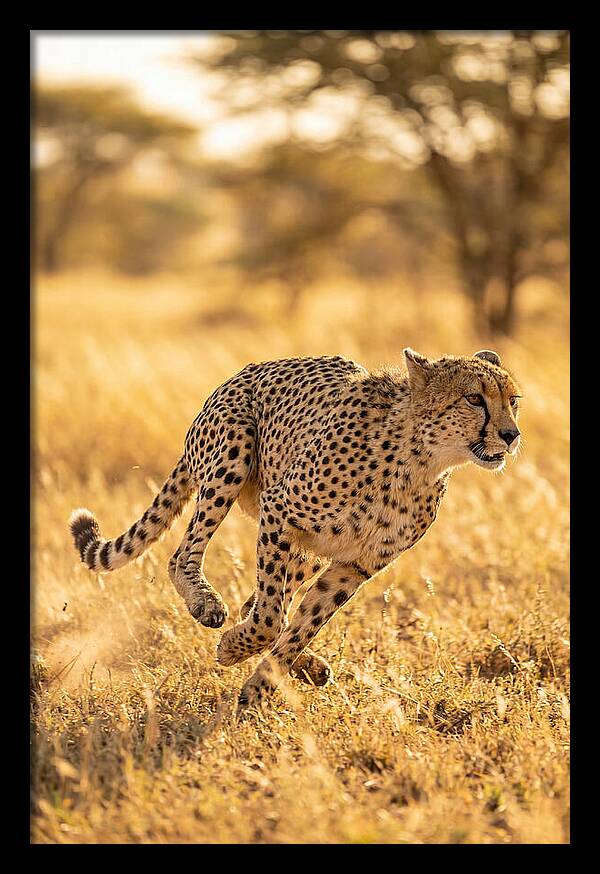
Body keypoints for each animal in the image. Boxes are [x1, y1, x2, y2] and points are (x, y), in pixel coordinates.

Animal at [70, 347, 521, 715]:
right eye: (474, 398)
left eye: (512, 401)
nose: (511, 435)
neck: (419, 460)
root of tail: (241, 373)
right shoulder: (279, 512)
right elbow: (270, 618)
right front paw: (233, 650)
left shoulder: (354, 565)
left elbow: (301, 624)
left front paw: (259, 687)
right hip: (233, 454)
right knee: (184, 556)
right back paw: (206, 603)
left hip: (308, 551)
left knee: (260, 601)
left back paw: (308, 666)